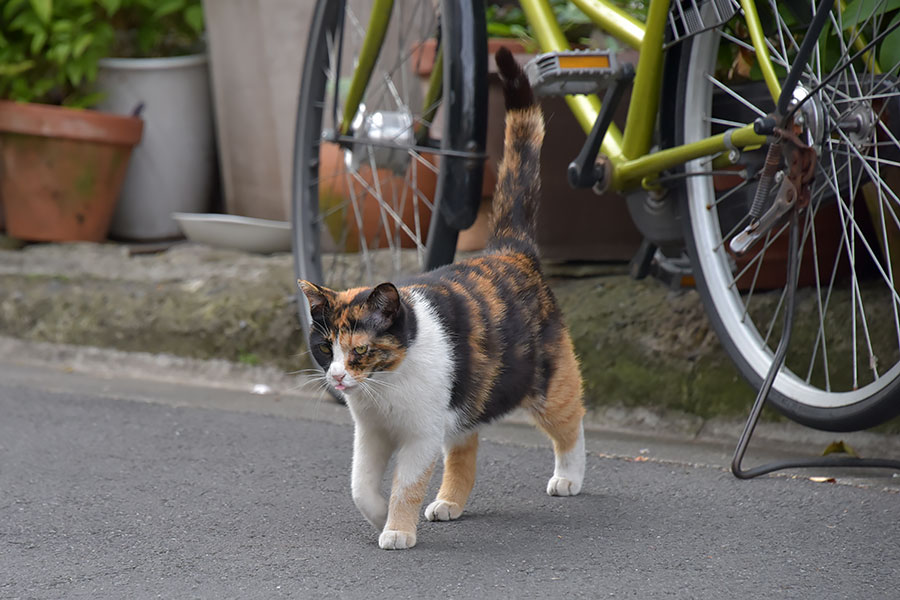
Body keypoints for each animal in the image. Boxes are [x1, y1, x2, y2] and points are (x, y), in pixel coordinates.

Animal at [298, 47, 588, 552]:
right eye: (323, 349)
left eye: (360, 351)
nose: (336, 377)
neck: (386, 388)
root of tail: (508, 249)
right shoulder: (370, 435)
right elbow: (360, 485)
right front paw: (379, 516)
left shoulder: (420, 436)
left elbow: (406, 485)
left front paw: (397, 528)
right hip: (468, 395)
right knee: (465, 447)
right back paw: (450, 501)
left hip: (546, 382)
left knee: (571, 420)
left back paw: (570, 476)